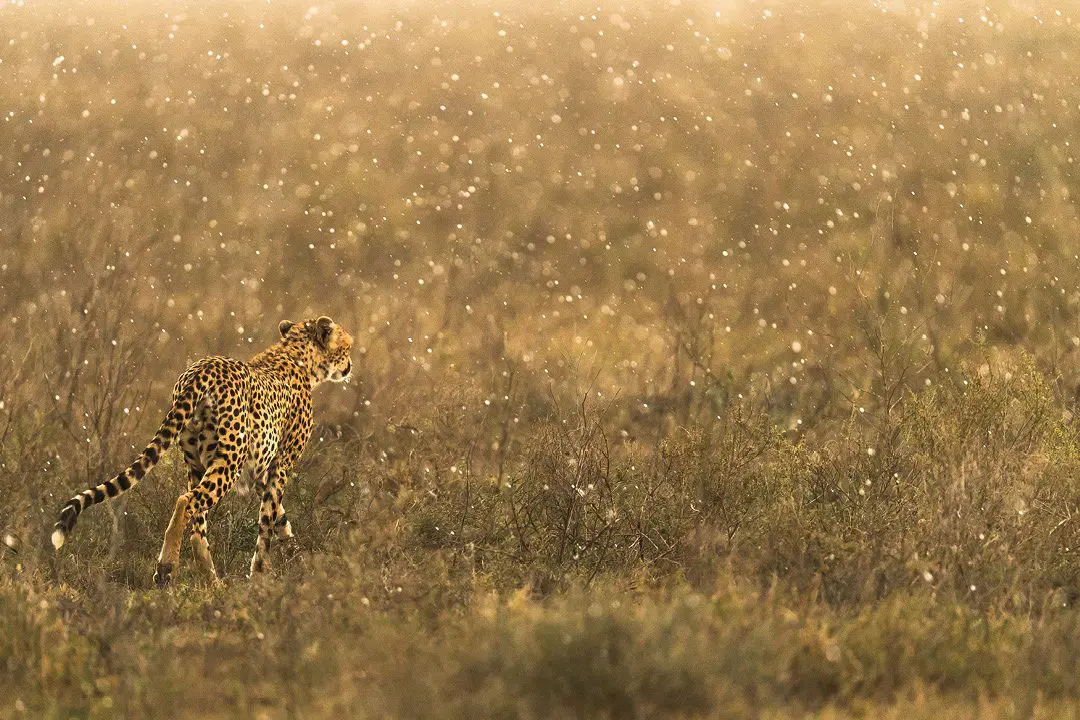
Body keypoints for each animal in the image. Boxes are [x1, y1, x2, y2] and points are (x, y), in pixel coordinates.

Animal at [51, 317, 354, 587]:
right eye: (347, 346)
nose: (350, 365)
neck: (296, 355)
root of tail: (202, 369)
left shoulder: (260, 473)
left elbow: (278, 515)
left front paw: (293, 551)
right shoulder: (280, 466)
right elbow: (267, 521)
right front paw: (261, 574)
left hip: (196, 463)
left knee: (198, 523)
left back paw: (210, 579)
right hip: (229, 462)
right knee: (187, 502)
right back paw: (167, 567)